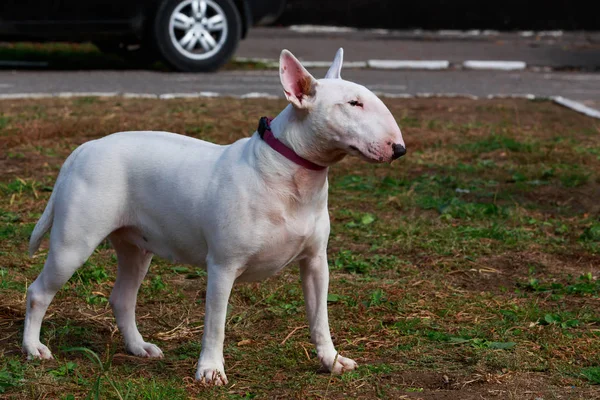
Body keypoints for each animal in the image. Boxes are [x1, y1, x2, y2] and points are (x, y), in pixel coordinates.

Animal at [24, 47, 408, 384]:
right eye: (353, 104)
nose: (399, 149)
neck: (289, 172)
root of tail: (83, 149)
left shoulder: (315, 262)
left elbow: (319, 318)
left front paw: (331, 360)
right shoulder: (223, 266)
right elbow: (216, 324)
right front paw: (210, 371)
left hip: (136, 248)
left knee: (122, 298)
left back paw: (138, 347)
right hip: (73, 244)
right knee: (38, 291)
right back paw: (33, 348)